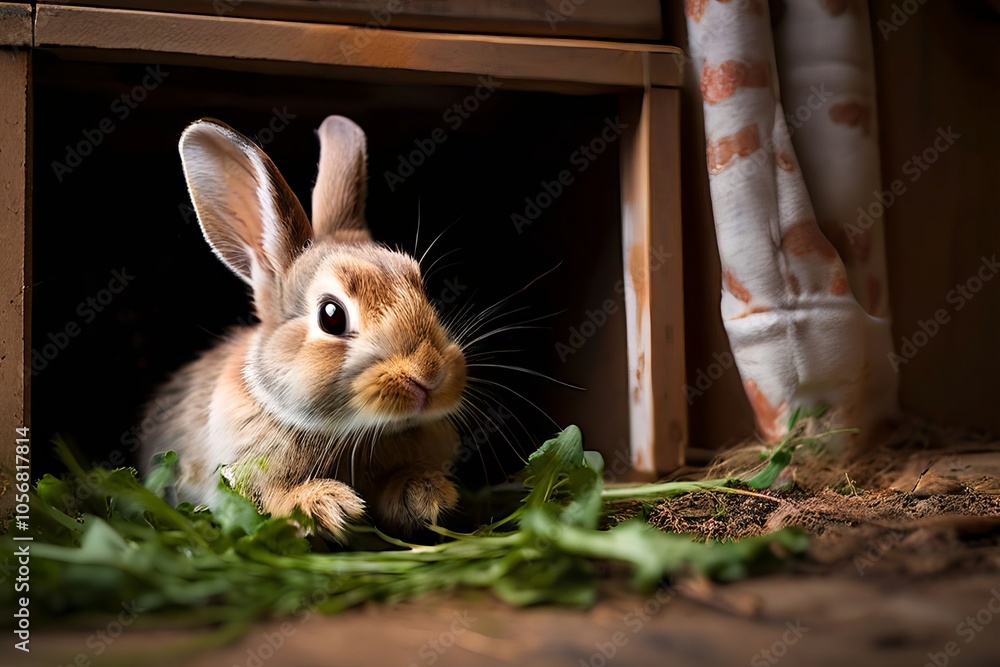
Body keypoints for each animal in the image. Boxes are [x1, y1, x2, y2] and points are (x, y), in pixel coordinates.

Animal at [140, 115, 467, 539]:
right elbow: (271, 500)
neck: (351, 432)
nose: (428, 376)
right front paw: (329, 505)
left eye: (421, 288)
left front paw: (427, 494)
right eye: (331, 315)